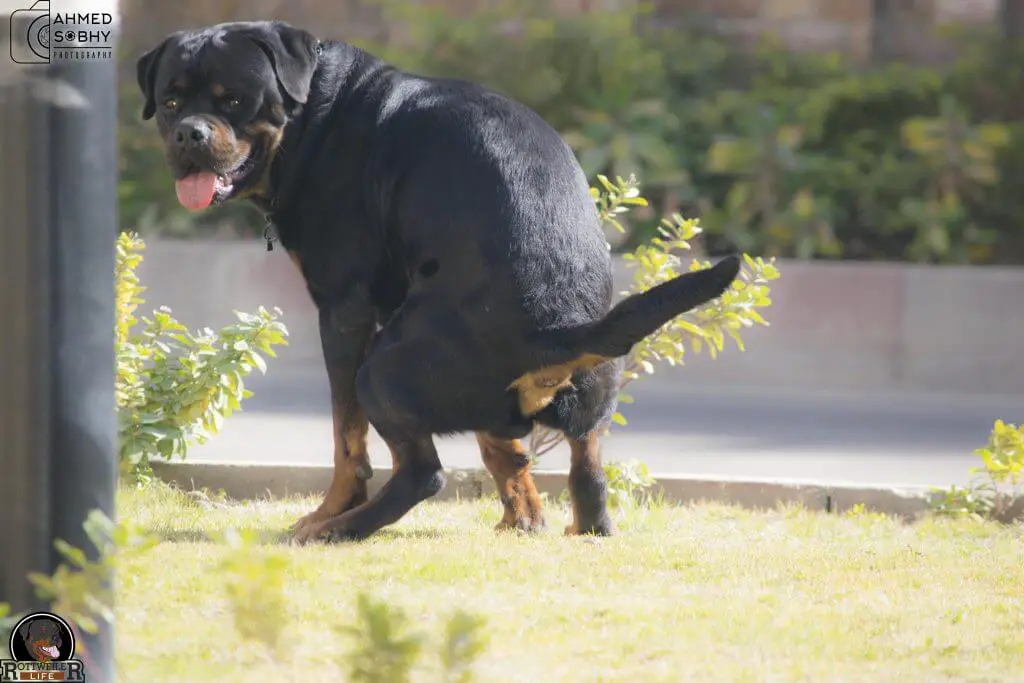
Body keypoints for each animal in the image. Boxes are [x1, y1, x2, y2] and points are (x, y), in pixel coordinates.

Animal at [136, 21, 741, 540]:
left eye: (235, 100)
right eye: (171, 103)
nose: (189, 133)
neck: (313, 116)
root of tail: (556, 330)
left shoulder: (344, 311)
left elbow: (345, 438)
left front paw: (329, 510)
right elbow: (504, 447)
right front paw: (523, 516)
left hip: (384, 368)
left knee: (421, 471)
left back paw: (338, 529)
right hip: (596, 386)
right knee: (586, 468)